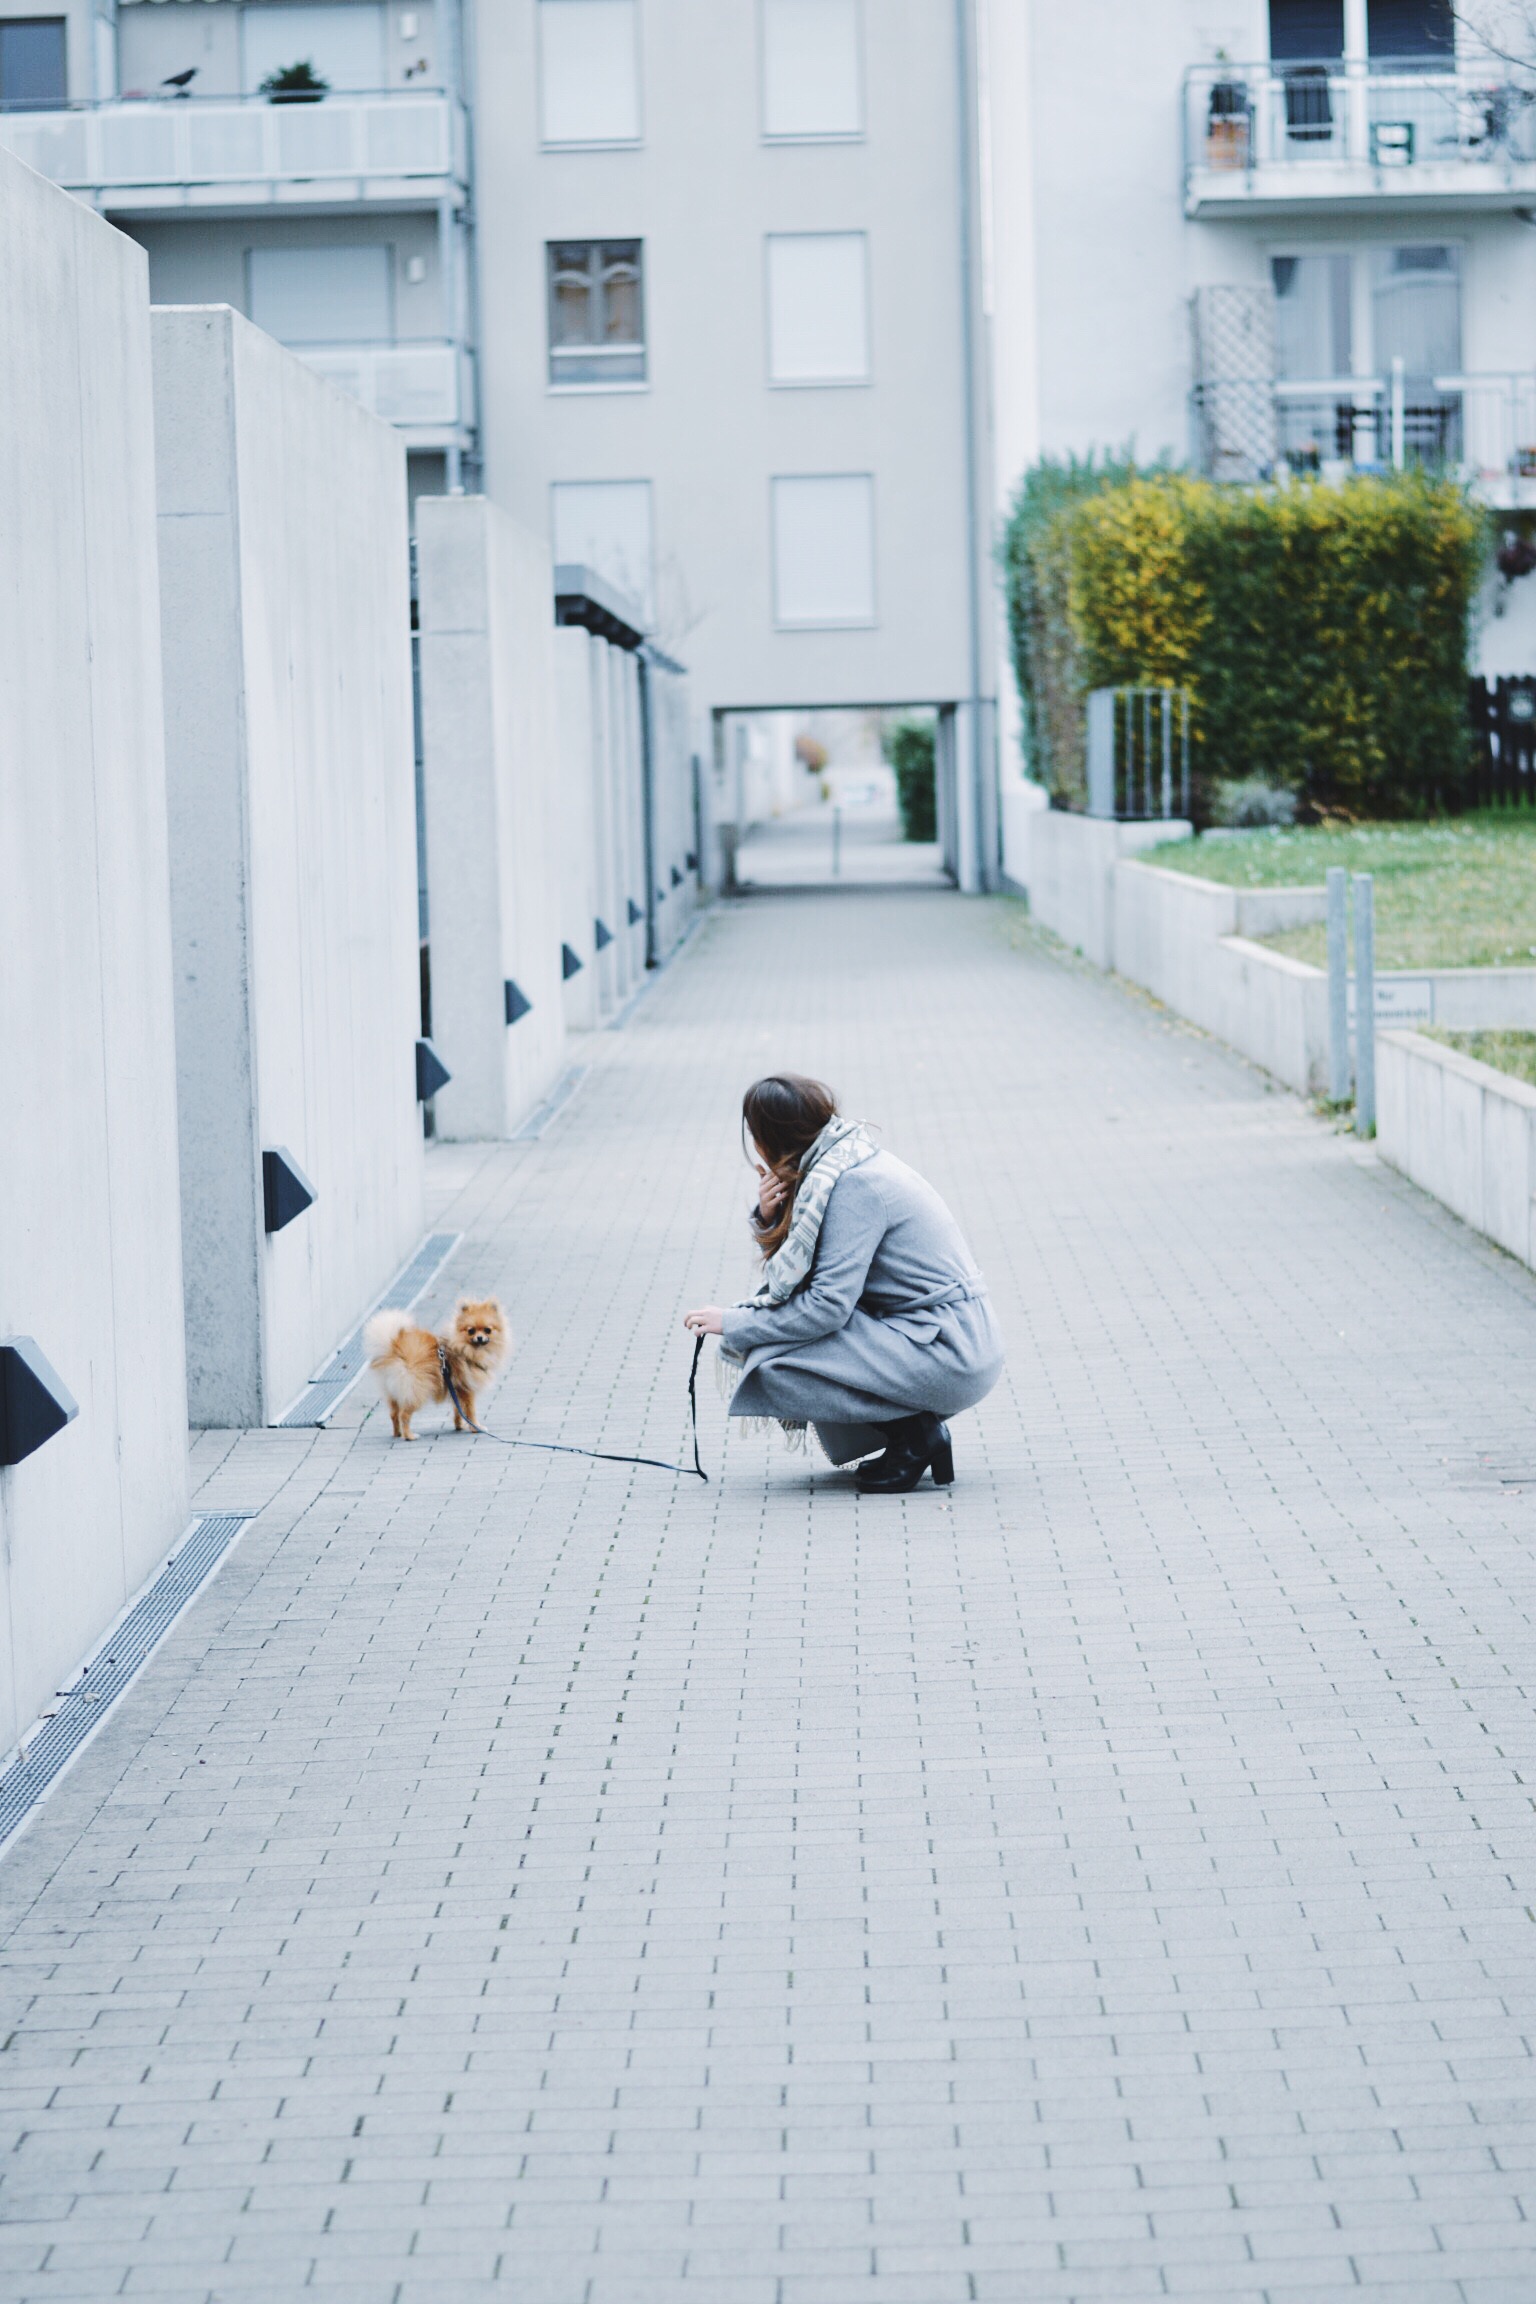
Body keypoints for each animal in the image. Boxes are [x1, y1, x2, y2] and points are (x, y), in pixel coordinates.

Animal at [364, 1297, 510, 1440]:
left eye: (487, 1330)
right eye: (471, 1331)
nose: (479, 1337)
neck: (467, 1349)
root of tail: (393, 1347)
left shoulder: (456, 1389)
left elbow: (458, 1409)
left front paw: (460, 1425)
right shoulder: (466, 1389)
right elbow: (470, 1411)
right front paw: (476, 1427)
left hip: (394, 1393)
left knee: (394, 1414)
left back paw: (397, 1434)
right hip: (417, 1389)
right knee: (404, 1414)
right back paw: (409, 1436)